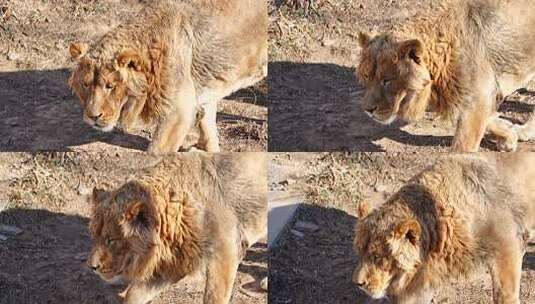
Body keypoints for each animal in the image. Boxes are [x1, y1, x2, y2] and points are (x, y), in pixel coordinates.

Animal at [67, 0, 268, 153]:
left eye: (110, 86)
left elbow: (156, 152)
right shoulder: (203, 93)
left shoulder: (178, 111)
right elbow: (208, 126)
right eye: (85, 85)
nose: (93, 117)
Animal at [87, 153, 268, 302]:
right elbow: (135, 294)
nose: (92, 267)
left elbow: (213, 297)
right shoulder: (175, 261)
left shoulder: (226, 252)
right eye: (95, 236)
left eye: (111, 240)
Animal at [352, 154, 535, 304]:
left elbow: (505, 292)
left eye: (377, 257)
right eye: (360, 253)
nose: (358, 283)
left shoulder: (508, 245)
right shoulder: (422, 278)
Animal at [358, 0, 535, 152]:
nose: (368, 110)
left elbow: (462, 149)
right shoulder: (469, 98)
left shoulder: (477, 98)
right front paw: (509, 135)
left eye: (387, 81)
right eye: (367, 78)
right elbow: (490, 120)